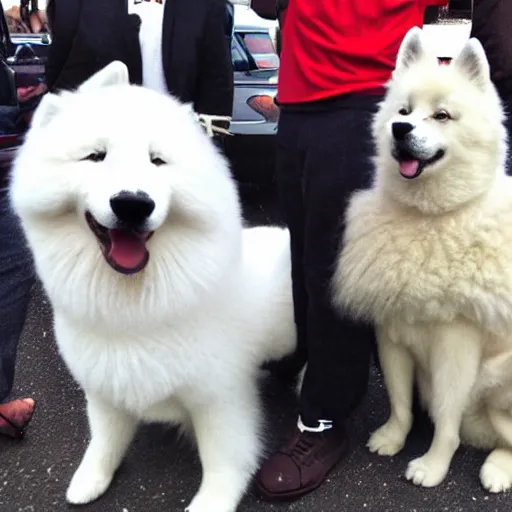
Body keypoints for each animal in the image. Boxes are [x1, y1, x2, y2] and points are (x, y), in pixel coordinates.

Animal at [10, 62, 298, 510]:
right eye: (95, 156)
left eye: (158, 161)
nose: (133, 203)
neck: (137, 304)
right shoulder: (105, 385)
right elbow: (105, 438)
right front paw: (91, 479)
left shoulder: (220, 396)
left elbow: (224, 457)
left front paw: (212, 502)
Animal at [332, 27, 512, 492]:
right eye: (403, 111)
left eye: (442, 116)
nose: (399, 129)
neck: (427, 217)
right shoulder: (390, 331)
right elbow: (400, 402)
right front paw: (393, 439)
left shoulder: (456, 342)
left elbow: (446, 420)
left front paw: (432, 466)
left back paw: (498, 469)